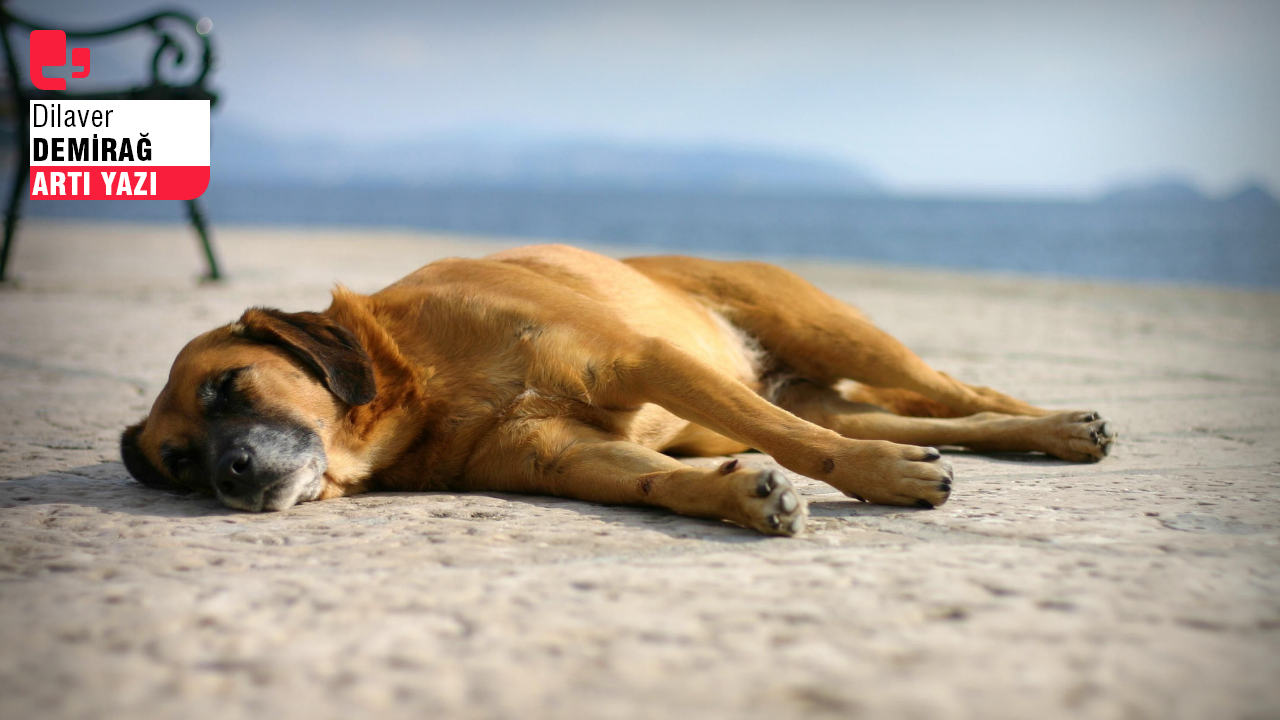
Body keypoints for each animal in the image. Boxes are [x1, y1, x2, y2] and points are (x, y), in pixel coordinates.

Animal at [122, 244, 1121, 532]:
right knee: (944, 413)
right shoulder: (565, 458)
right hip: (806, 383)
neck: (422, 383)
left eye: (229, 387)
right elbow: (657, 480)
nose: (232, 475)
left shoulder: (641, 361)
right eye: (179, 465)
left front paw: (876, 476)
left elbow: (801, 446)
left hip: (834, 331)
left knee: (956, 385)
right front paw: (742, 499)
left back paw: (1064, 426)